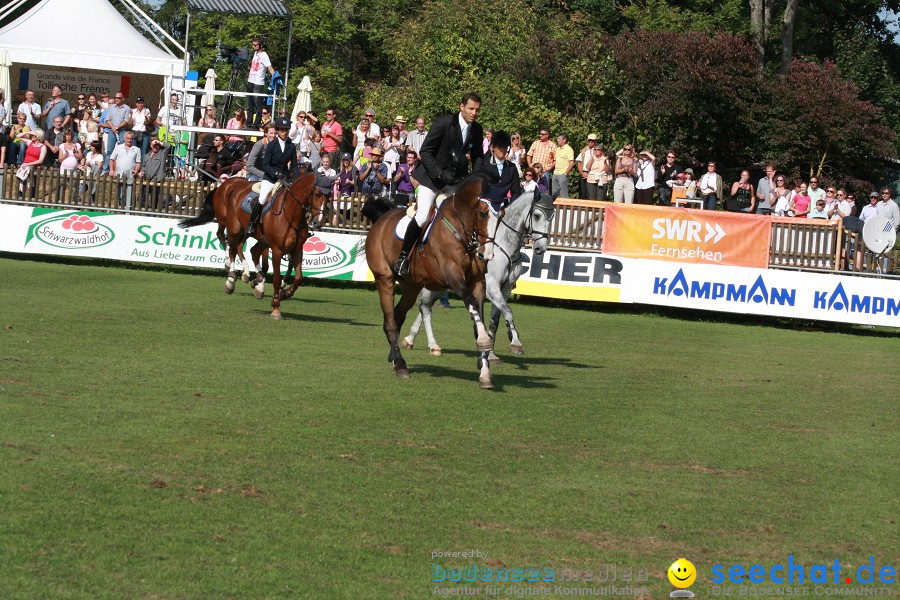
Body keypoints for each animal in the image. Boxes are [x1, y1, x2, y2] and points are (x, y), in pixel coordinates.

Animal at [179, 173, 326, 322]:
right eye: (317, 194)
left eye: (329, 196)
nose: (318, 223)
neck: (290, 213)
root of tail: (227, 185)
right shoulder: (276, 249)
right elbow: (275, 277)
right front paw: (275, 307)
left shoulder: (296, 249)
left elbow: (297, 277)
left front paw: (282, 292)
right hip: (231, 226)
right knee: (228, 243)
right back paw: (231, 276)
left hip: (248, 234)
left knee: (245, 248)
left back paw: (247, 275)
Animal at [362, 173, 496, 390]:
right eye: (483, 214)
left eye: (501, 214)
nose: (487, 254)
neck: (460, 229)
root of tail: (381, 220)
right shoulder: (453, 276)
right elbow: (472, 304)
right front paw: (485, 341)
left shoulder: (477, 283)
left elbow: (478, 316)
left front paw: (485, 373)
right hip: (385, 280)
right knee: (390, 322)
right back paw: (401, 365)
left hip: (411, 286)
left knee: (397, 317)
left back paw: (394, 357)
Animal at [402, 190, 556, 364]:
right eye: (537, 215)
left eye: (552, 217)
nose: (540, 248)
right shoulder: (491, 288)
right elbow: (508, 311)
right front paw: (515, 342)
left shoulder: (505, 290)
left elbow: (496, 319)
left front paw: (491, 354)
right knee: (425, 308)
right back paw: (430, 344)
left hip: (440, 286)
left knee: (425, 307)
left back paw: (411, 339)